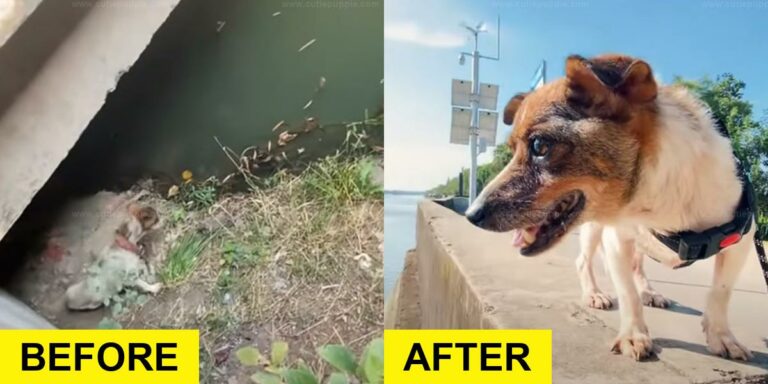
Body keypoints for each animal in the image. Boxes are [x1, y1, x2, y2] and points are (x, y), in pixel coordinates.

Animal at [464, 53, 752, 360]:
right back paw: (594, 293)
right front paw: (634, 335)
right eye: (512, 150)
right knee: (584, 261)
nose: (471, 214)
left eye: (539, 145)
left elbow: (720, 292)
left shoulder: (741, 242)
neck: (652, 202)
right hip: (593, 231)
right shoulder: (617, 239)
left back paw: (649, 291)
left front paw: (722, 336)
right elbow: (627, 293)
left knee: (638, 266)